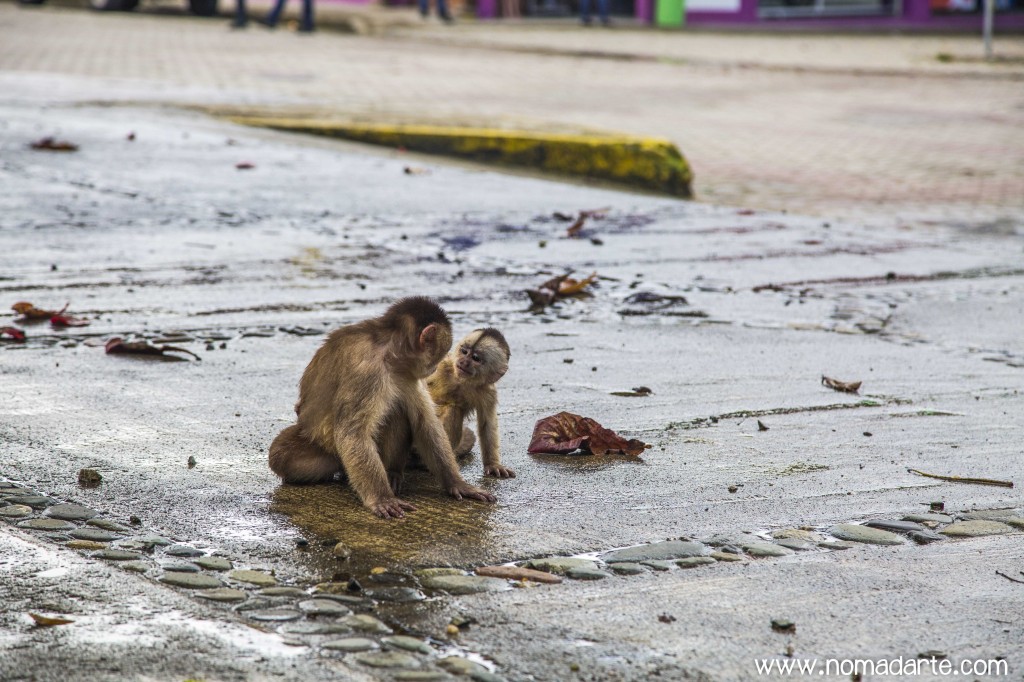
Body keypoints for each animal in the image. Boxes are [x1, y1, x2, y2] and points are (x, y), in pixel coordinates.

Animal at [268, 294, 495, 518]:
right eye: (439, 354)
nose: (433, 368)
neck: (387, 350)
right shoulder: (367, 370)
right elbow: (353, 434)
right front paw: (381, 498)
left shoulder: (406, 373)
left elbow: (425, 422)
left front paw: (456, 483)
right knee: (280, 455)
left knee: (399, 411)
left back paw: (392, 472)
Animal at [428, 327, 516, 477]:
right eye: (464, 352)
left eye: (475, 358)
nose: (463, 361)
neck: (460, 381)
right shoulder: (441, 365)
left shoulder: (487, 392)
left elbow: (487, 425)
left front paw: (493, 464)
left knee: (454, 409)